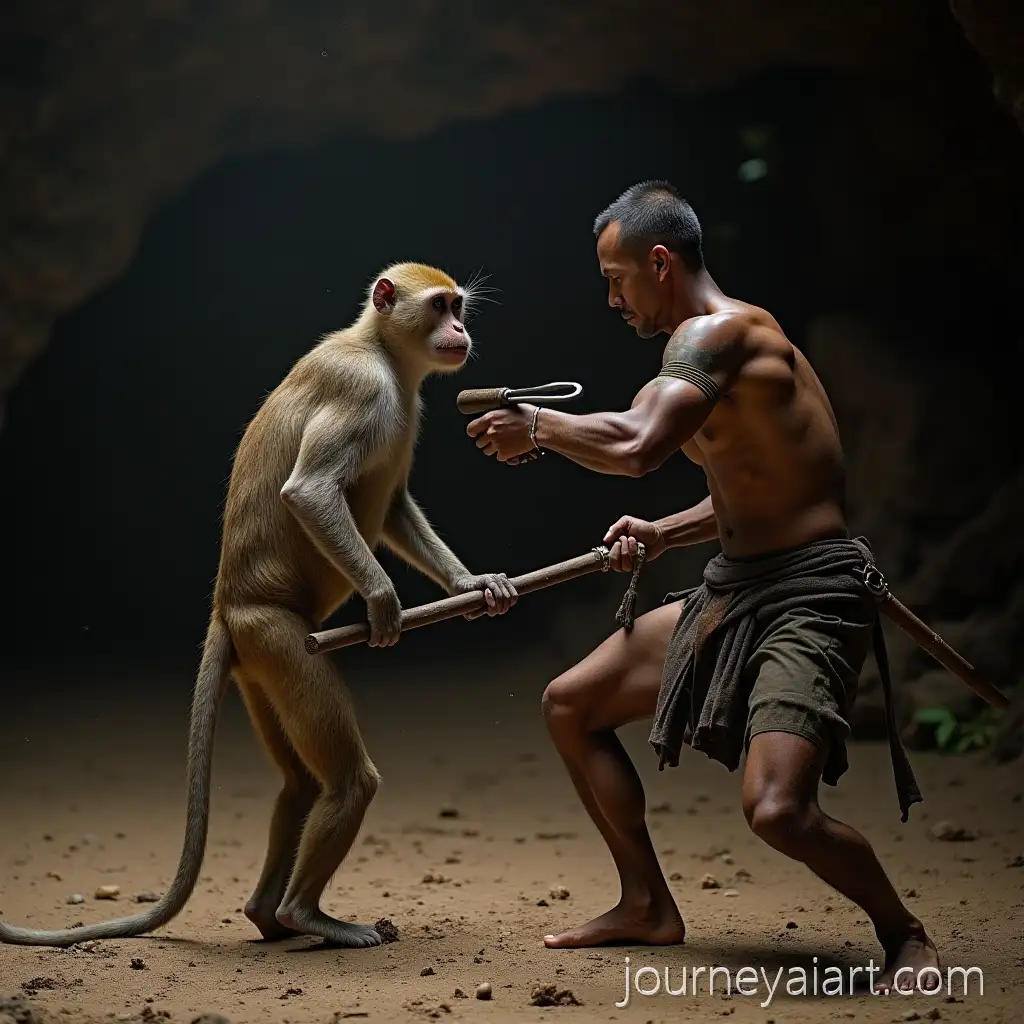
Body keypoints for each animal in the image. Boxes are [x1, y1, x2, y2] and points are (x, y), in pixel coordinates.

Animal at [0, 263, 518, 949]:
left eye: (458, 307)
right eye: (440, 307)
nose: (459, 330)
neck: (381, 348)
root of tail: (228, 605)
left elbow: (396, 510)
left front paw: (471, 585)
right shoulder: (367, 391)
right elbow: (311, 491)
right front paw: (384, 604)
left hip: (258, 663)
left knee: (301, 785)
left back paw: (267, 914)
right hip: (277, 637)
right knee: (347, 781)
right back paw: (305, 915)